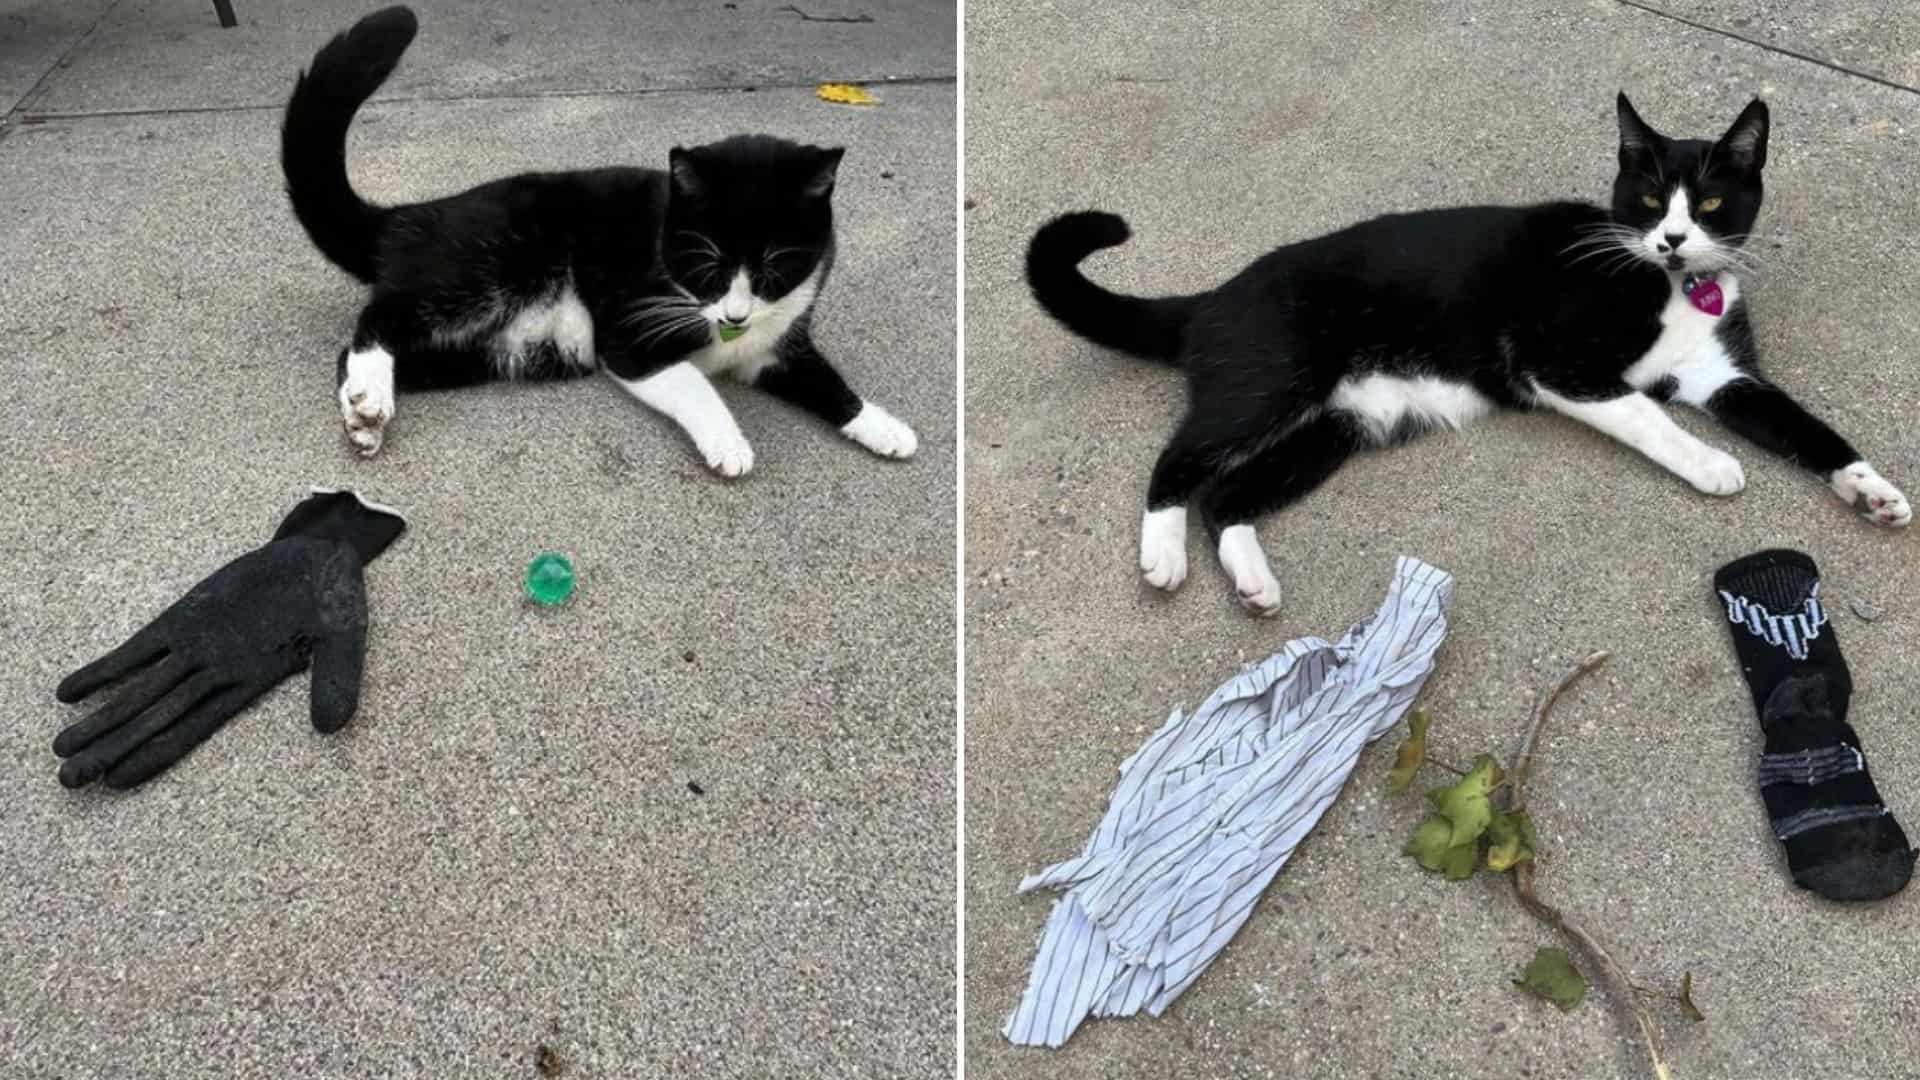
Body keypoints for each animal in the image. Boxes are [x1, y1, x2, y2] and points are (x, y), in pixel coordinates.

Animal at [280, 5, 921, 470]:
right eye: (707, 265)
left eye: (774, 267)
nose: (735, 315)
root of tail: (411, 215)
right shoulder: (632, 338)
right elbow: (694, 383)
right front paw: (729, 443)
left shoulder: (777, 344)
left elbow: (825, 379)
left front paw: (882, 426)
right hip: (483, 271)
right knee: (378, 319)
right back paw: (370, 396)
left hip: (499, 352)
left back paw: (365, 417)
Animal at [1029, 92, 1896, 614]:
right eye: (1649, 199)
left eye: (1712, 202)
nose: (1674, 238)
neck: (1668, 284)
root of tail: (1213, 298)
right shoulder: (1554, 361)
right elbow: (1650, 417)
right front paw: (1713, 464)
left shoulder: (1727, 378)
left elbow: (1806, 428)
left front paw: (1872, 490)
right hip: (1272, 380)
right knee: (1179, 463)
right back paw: (1162, 555)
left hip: (1335, 428)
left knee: (1230, 498)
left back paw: (1253, 581)